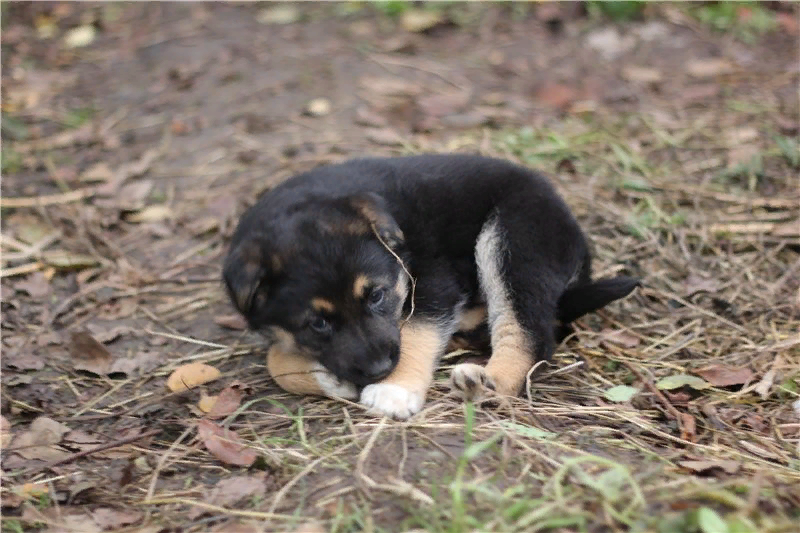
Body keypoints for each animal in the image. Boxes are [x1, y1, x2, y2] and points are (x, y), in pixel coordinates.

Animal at [223, 152, 636, 418]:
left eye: (376, 296)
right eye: (318, 323)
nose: (379, 369)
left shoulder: (435, 280)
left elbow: (416, 333)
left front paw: (395, 388)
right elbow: (275, 361)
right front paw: (325, 378)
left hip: (515, 238)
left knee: (531, 333)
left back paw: (486, 383)